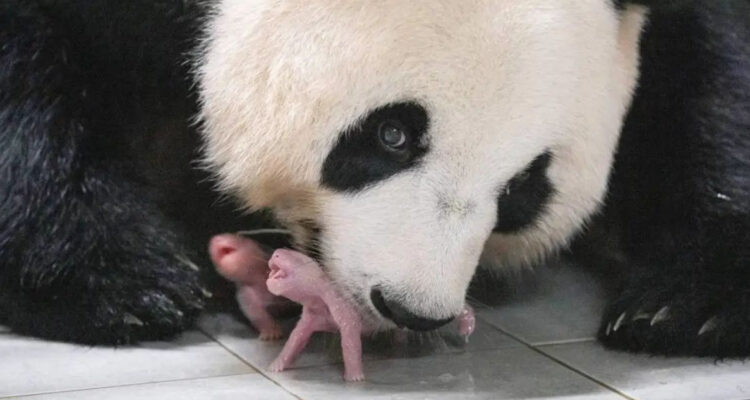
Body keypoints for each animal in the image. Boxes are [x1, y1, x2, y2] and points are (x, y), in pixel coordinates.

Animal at [1, 0, 748, 357]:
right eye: (392, 135)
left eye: (522, 189)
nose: (413, 308)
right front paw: (120, 281)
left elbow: (709, 73)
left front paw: (686, 306)